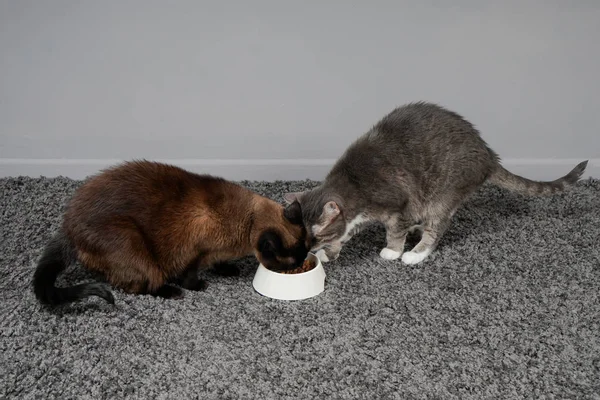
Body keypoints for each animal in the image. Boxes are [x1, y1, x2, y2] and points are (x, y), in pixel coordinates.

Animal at [32, 161, 308, 304]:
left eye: (304, 256)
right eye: (292, 262)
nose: (299, 265)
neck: (248, 219)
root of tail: (68, 226)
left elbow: (219, 263)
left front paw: (227, 269)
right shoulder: (194, 252)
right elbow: (189, 275)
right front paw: (197, 285)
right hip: (134, 245)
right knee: (143, 285)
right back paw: (171, 292)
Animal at [284, 101, 588, 266]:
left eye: (316, 235)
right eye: (302, 235)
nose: (308, 249)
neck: (353, 184)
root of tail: (488, 155)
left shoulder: (400, 205)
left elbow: (395, 232)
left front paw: (392, 251)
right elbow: (344, 235)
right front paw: (329, 254)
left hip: (442, 195)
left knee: (437, 229)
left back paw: (415, 253)